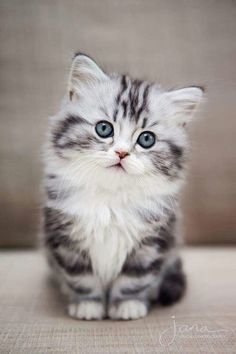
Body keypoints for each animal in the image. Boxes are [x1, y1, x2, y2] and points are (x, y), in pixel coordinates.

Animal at [41, 53, 204, 320]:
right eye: (104, 128)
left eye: (146, 139)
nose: (122, 153)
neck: (111, 198)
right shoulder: (66, 240)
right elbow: (81, 278)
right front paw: (88, 307)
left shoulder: (152, 243)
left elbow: (133, 279)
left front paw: (127, 306)